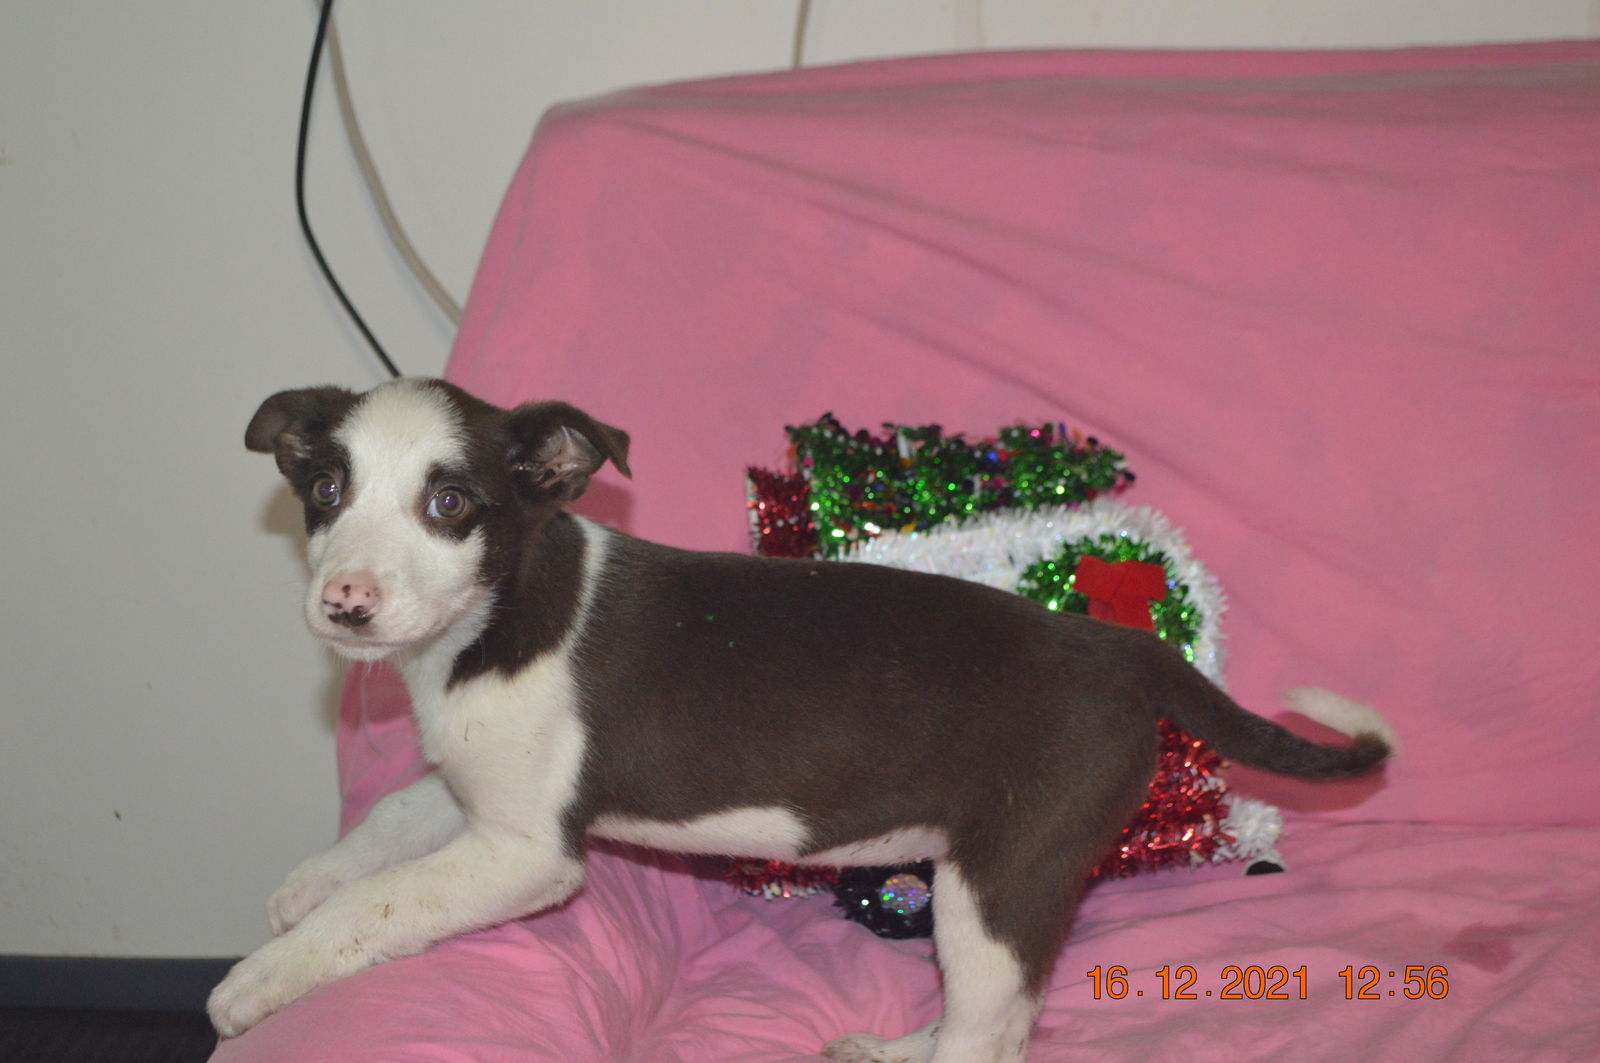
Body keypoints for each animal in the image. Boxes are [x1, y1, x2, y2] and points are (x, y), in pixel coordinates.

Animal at [209, 377, 1388, 1056]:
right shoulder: (486, 796)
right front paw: (305, 881)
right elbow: (394, 822)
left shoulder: (525, 852)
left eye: (450, 505)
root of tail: (1119, 645)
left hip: (1006, 872)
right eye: (324, 490)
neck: (499, 613)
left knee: (993, 1031)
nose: (345, 604)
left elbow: (380, 907)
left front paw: (259, 980)